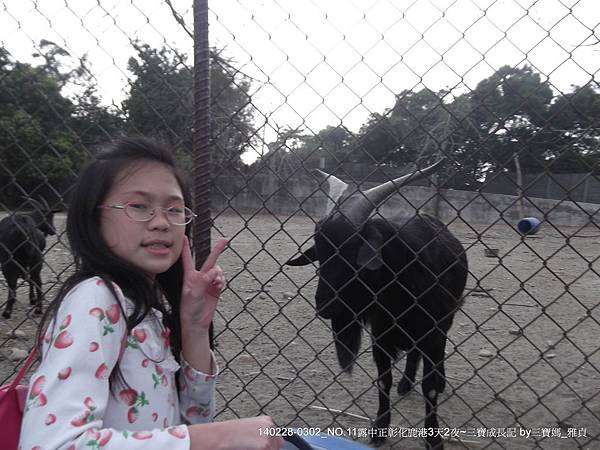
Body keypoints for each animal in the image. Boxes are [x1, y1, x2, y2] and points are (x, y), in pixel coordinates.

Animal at [286, 162, 468, 450]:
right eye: (321, 252)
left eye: (352, 250)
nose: (324, 306)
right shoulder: (380, 337)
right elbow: (384, 380)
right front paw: (380, 429)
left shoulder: (432, 330)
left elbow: (428, 387)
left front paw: (434, 439)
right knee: (412, 355)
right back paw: (405, 383)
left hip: (444, 322)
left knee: (438, 354)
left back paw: (439, 380)